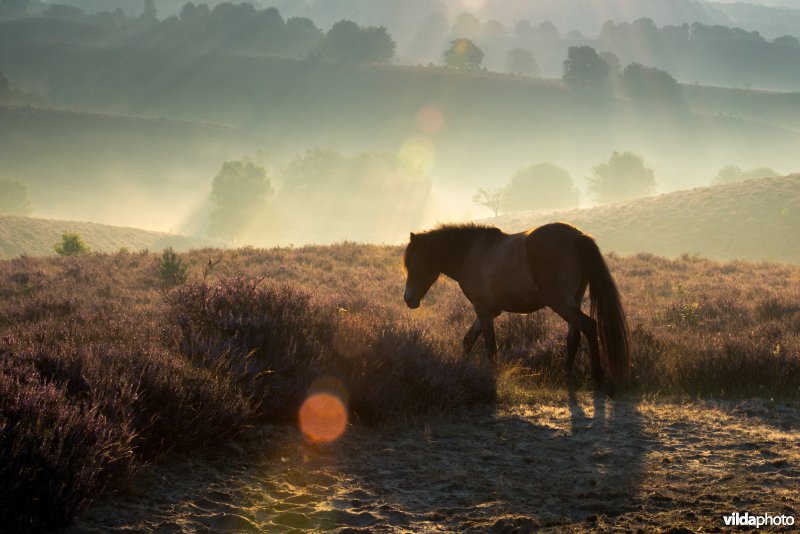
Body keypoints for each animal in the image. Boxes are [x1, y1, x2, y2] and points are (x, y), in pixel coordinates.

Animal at [404, 222, 628, 394]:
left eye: (413, 264)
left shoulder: (482, 309)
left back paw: (597, 377)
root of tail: (577, 236)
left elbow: (490, 345)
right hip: (573, 301)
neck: (470, 253)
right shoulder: (491, 311)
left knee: (589, 326)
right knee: (574, 336)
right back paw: (568, 378)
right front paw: (463, 367)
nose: (408, 299)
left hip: (561, 303)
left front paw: (491, 376)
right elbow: (468, 339)